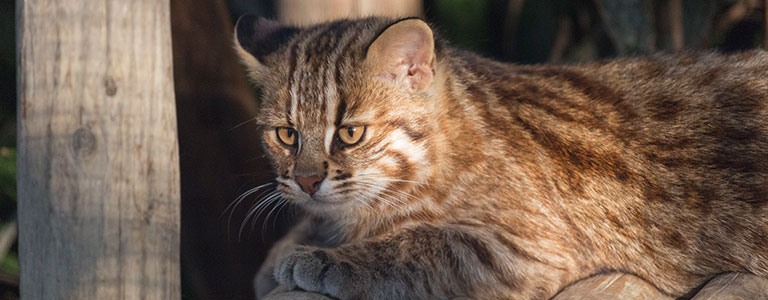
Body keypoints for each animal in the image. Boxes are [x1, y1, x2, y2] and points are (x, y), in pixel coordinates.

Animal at [231, 16, 768, 300]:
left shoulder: (531, 250)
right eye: (286, 134)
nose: (306, 181)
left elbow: (419, 243)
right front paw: (282, 253)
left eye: (350, 133)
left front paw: (323, 260)